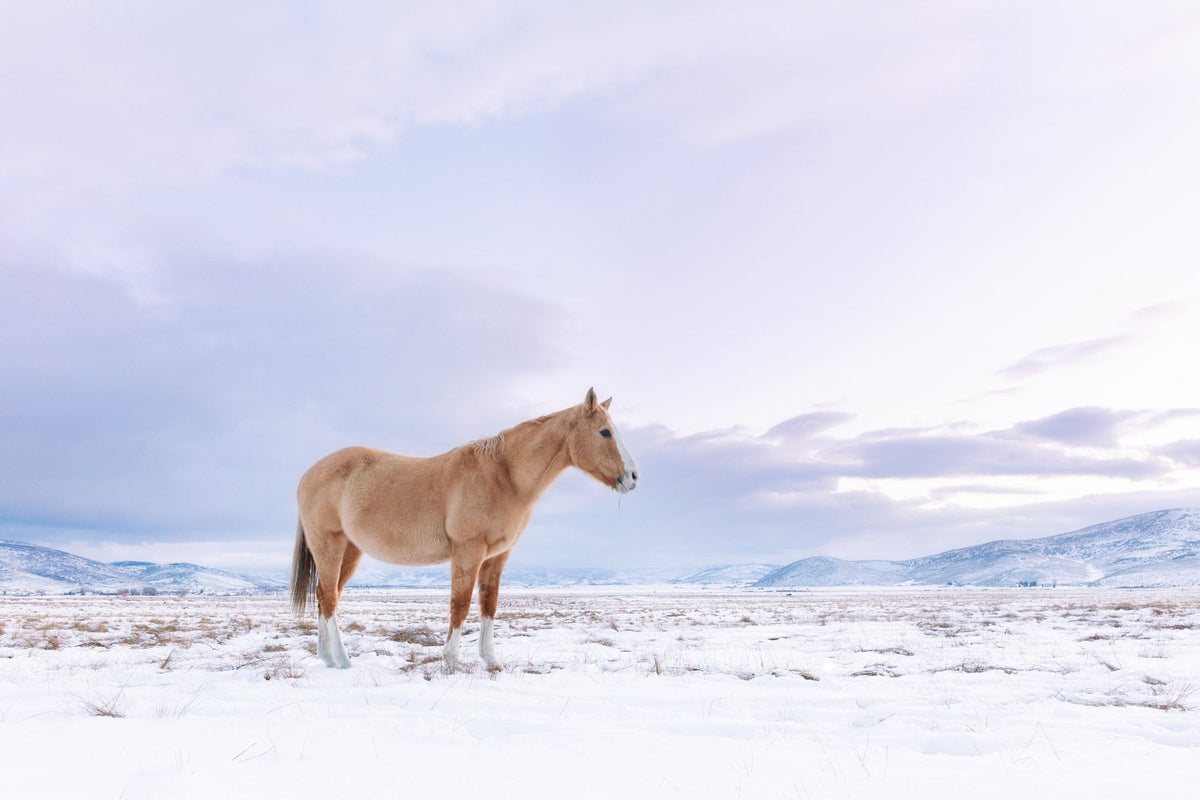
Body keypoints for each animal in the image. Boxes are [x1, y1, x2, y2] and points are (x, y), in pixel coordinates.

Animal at [289, 388, 638, 671]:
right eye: (605, 432)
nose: (633, 477)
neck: (504, 476)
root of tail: (308, 474)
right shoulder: (468, 551)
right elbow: (460, 604)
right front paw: (453, 660)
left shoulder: (496, 557)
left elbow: (489, 605)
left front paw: (491, 660)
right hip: (330, 546)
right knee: (329, 598)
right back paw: (342, 659)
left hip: (350, 550)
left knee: (325, 595)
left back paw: (326, 657)